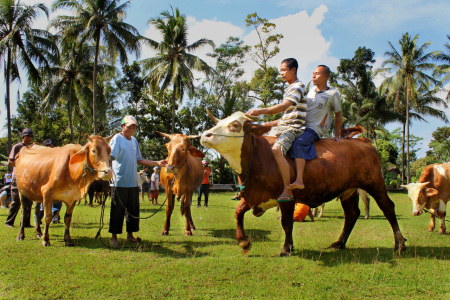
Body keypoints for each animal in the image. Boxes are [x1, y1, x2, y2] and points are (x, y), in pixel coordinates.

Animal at [202, 111, 406, 256]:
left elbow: (286, 223)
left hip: (374, 183)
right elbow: (238, 213)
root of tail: (362, 141)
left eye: (235, 125)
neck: (258, 157)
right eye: (219, 122)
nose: (205, 135)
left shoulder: (286, 198)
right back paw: (339, 243)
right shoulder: (253, 196)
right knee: (352, 214)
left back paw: (399, 244)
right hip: (348, 190)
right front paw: (244, 242)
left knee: (387, 207)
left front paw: (286, 248)